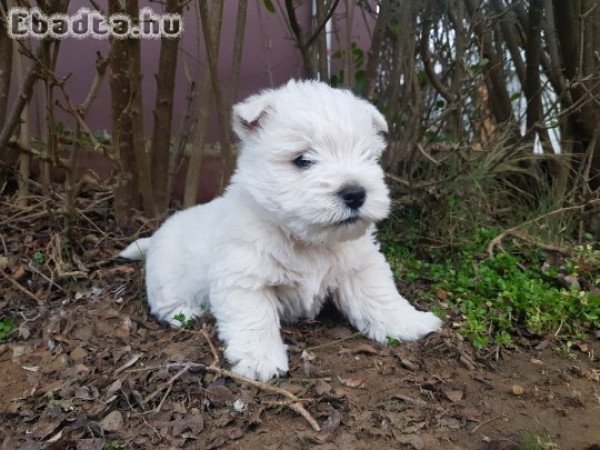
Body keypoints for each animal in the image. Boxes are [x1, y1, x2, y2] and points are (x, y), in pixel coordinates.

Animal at [120, 80, 440, 380]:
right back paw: (187, 314)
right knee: (165, 304)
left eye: (367, 156)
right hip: (167, 278)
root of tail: (157, 234)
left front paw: (412, 323)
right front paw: (260, 362)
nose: (355, 193)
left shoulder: (360, 268)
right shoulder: (243, 280)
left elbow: (380, 297)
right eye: (302, 160)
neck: (307, 240)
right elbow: (255, 320)